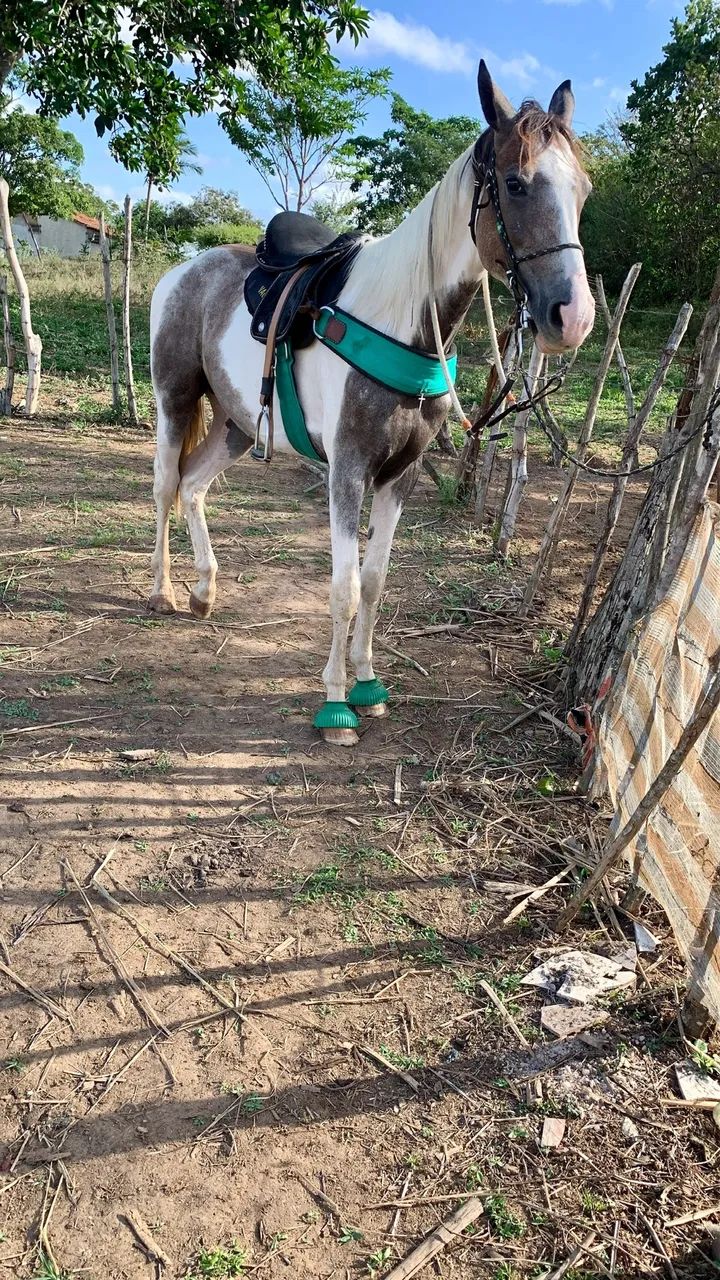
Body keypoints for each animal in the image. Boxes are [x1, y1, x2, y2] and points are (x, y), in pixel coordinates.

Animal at [148, 60, 595, 746]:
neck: (400, 322)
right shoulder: (348, 470)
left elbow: (378, 583)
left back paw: (202, 591)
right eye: (516, 184)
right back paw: (163, 592)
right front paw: (335, 705)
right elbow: (345, 588)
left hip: (236, 423)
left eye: (584, 191)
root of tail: (180, 273)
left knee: (194, 488)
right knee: (166, 486)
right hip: (175, 400)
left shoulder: (398, 476)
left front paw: (366, 683)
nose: (572, 318)